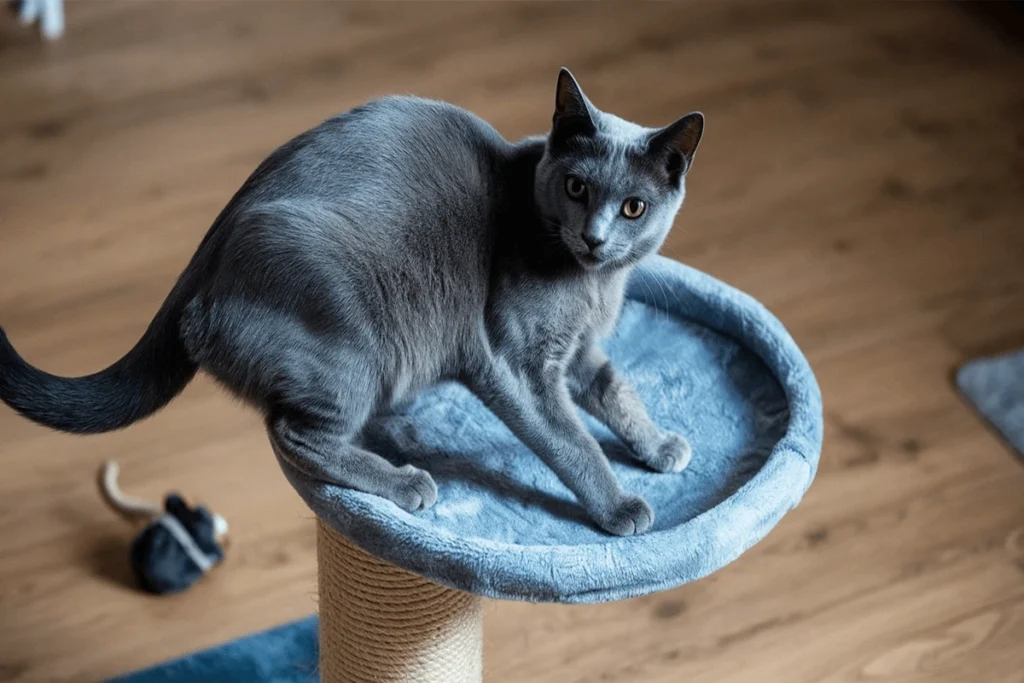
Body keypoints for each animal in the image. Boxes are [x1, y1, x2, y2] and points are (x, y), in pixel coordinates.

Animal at [0, 70, 704, 540]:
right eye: (577, 187)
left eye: (633, 207)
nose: (596, 237)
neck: (591, 283)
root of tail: (201, 263)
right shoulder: (519, 364)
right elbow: (571, 441)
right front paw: (621, 508)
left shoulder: (579, 352)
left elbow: (617, 391)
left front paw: (659, 446)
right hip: (356, 344)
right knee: (292, 435)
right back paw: (406, 481)